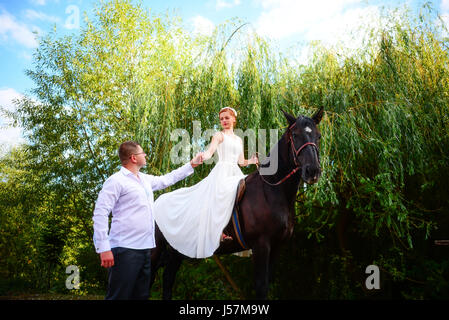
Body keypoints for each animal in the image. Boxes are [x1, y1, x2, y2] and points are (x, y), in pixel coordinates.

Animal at [150, 108, 322, 300]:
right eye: (295, 134)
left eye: (318, 136)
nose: (313, 171)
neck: (272, 190)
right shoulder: (261, 245)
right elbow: (261, 286)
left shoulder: (277, 246)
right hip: (154, 251)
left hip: (176, 252)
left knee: (168, 280)